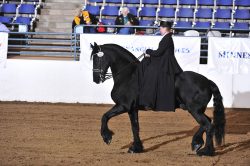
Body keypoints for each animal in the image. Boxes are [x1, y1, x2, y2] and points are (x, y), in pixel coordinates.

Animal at [90, 42, 227, 156]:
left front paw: (107, 137)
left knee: (208, 125)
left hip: (194, 110)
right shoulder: (132, 109)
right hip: (197, 110)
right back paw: (198, 144)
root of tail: (207, 81)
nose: (96, 79)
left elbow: (105, 116)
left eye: (97, 59)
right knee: (207, 122)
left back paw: (205, 151)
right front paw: (136, 148)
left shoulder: (123, 106)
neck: (128, 76)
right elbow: (135, 127)